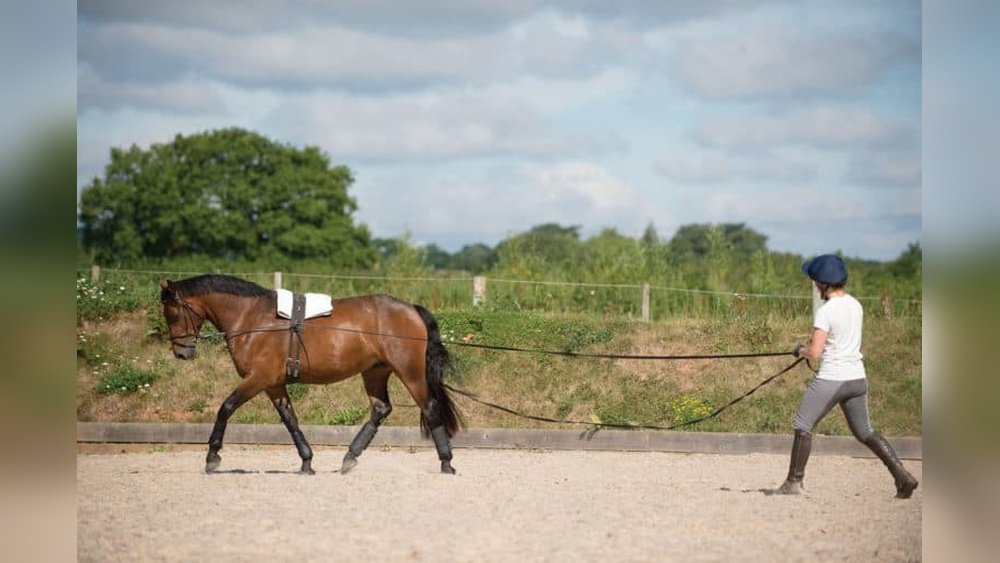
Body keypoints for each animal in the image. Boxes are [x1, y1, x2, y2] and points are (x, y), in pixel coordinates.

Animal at [158, 274, 464, 475]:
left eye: (172, 314)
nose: (182, 352)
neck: (251, 318)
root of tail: (412, 308)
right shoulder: (274, 384)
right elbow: (289, 420)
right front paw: (306, 461)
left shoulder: (258, 378)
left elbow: (226, 407)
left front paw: (212, 456)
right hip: (375, 372)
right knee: (380, 409)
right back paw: (350, 457)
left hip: (409, 371)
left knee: (430, 407)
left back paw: (447, 462)